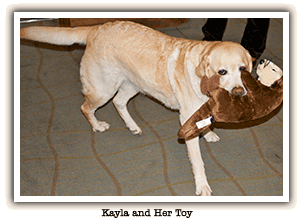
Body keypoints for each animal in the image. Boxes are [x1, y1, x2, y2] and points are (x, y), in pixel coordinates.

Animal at [20, 21, 255, 196]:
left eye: (242, 68)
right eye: (222, 71)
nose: (238, 92)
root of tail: (96, 27)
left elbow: (205, 125)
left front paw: (209, 134)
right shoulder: (187, 119)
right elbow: (197, 161)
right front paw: (202, 186)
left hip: (133, 84)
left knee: (119, 102)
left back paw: (132, 126)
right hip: (104, 89)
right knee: (85, 107)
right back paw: (97, 126)